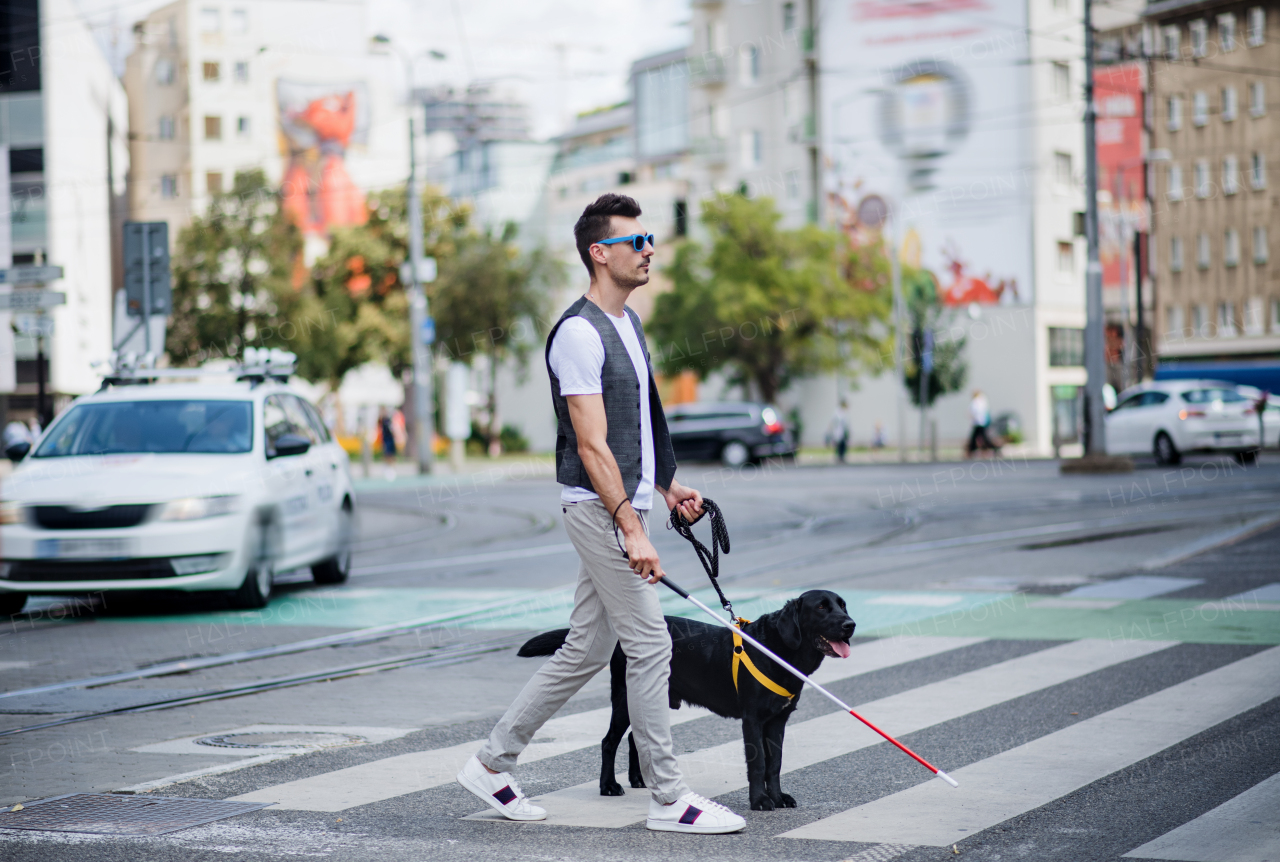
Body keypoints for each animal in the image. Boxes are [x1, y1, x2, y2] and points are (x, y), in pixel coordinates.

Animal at [514, 584, 855, 809]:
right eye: (821, 607)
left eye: (843, 605)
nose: (851, 624)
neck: (778, 650)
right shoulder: (753, 721)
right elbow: (758, 763)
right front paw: (760, 801)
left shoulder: (778, 721)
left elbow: (775, 763)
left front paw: (778, 797)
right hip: (623, 699)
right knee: (609, 741)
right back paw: (609, 785)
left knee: (635, 738)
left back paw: (639, 779)